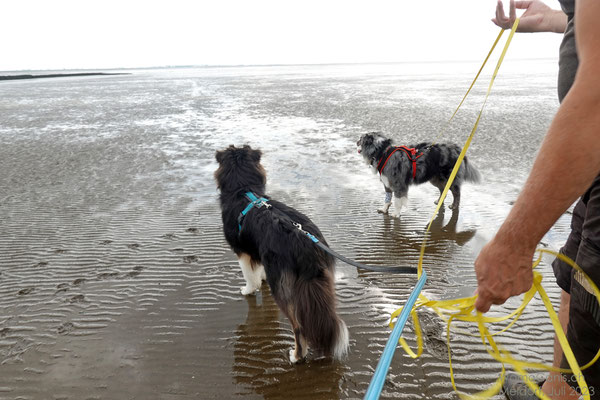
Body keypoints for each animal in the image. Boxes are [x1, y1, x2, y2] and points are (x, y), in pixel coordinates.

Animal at [214, 145, 350, 362]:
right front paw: (261, 279)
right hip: (323, 281)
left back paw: (297, 356)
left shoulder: (242, 252)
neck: (243, 190)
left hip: (283, 286)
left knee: (298, 326)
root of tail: (304, 245)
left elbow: (249, 276)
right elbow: (259, 271)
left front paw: (248, 289)